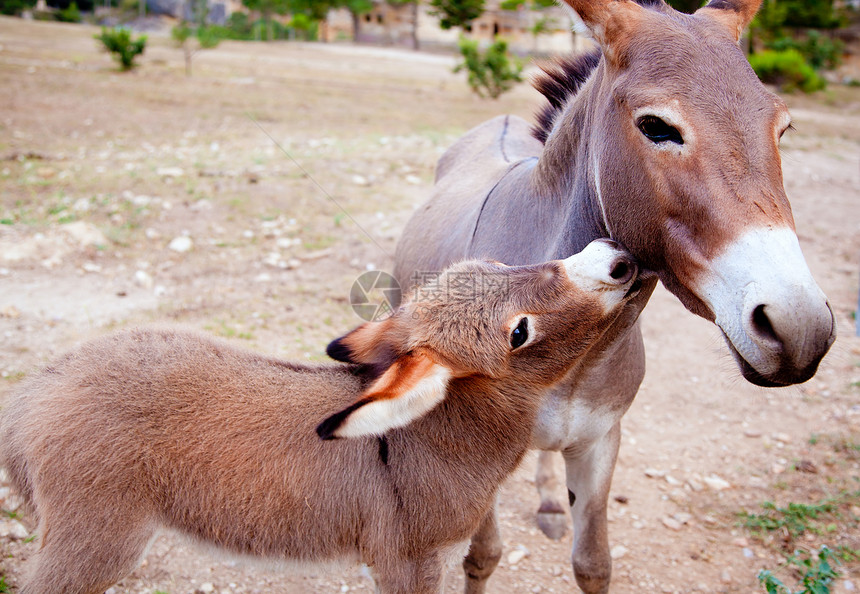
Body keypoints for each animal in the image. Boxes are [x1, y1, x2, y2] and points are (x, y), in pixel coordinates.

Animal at [0, 237, 644, 592]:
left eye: (496, 262)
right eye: (518, 333)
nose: (614, 257)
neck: (427, 438)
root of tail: (33, 395)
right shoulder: (408, 562)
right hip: (96, 539)